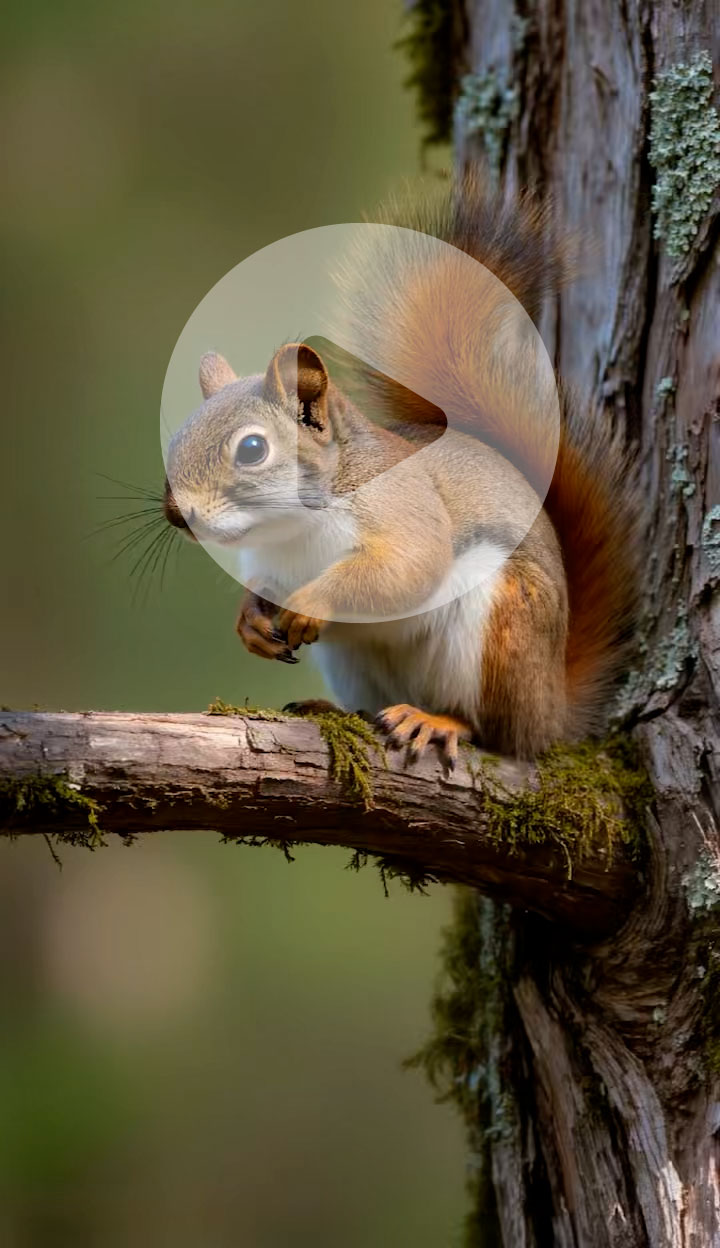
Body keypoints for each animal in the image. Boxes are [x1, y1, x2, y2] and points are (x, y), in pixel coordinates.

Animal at [163, 174, 639, 765]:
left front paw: (311, 601)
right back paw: (334, 710)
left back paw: (435, 720)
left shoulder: (404, 508)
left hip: (498, 626)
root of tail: (552, 711)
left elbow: (405, 569)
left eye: (252, 449)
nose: (176, 514)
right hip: (356, 663)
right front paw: (250, 619)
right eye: (176, 438)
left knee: (495, 731)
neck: (292, 528)